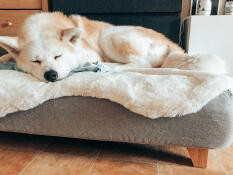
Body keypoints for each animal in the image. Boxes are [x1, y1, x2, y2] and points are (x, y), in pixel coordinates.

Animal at [0, 11, 227, 81]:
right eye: (35, 61)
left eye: (58, 56)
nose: (51, 75)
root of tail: (173, 45)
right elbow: (4, 56)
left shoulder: (89, 52)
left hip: (111, 36)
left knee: (140, 64)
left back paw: (109, 66)